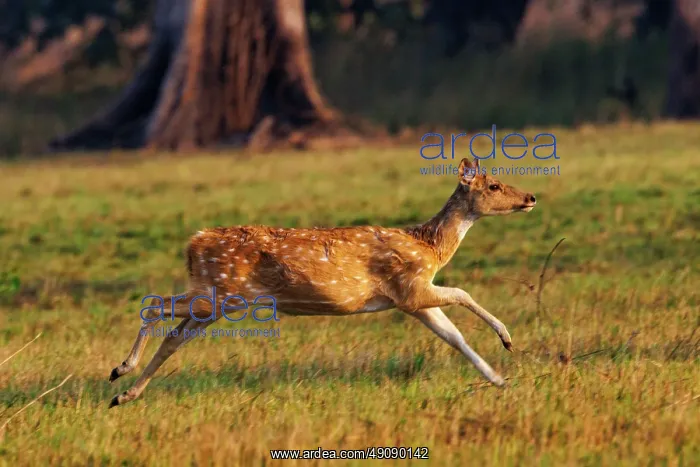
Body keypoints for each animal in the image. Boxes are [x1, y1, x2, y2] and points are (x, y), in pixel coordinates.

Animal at [108, 156, 537, 408]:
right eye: (494, 185)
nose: (531, 197)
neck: (429, 246)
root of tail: (193, 244)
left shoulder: (410, 302)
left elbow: (455, 338)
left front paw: (500, 380)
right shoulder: (410, 287)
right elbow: (463, 292)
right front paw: (506, 339)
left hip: (217, 298)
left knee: (173, 337)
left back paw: (123, 393)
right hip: (222, 293)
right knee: (155, 304)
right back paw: (122, 368)